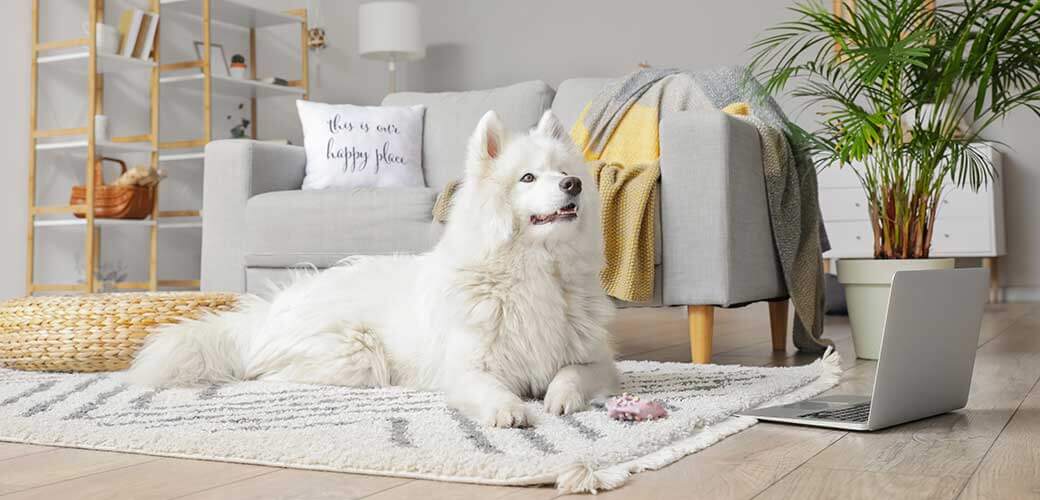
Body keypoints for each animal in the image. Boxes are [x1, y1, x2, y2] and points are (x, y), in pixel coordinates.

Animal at [125, 111, 619, 426]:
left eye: (563, 171)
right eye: (528, 178)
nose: (573, 184)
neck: (536, 272)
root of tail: (267, 311)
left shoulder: (600, 361)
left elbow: (573, 373)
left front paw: (559, 397)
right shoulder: (465, 368)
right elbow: (488, 388)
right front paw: (508, 409)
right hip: (356, 356)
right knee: (262, 374)